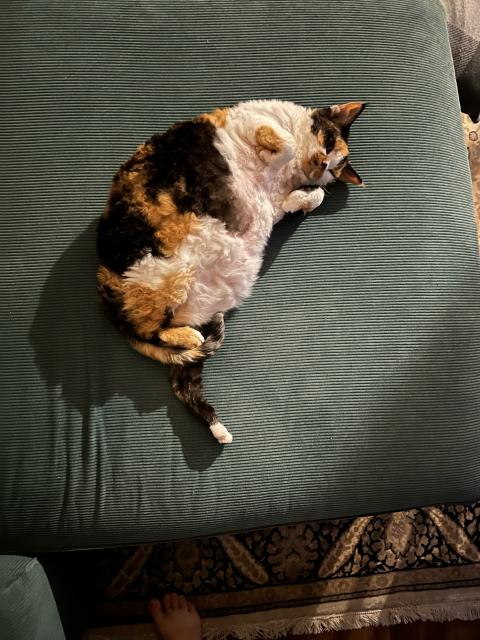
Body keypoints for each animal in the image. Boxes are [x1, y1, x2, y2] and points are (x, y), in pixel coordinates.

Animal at [96, 99, 364, 444]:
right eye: (329, 141)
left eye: (333, 169)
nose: (321, 163)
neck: (286, 176)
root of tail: (104, 292)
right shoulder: (251, 122)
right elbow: (287, 143)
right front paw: (278, 156)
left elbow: (315, 196)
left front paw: (296, 201)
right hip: (164, 276)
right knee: (146, 331)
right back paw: (189, 338)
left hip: (188, 312)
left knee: (182, 381)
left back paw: (219, 429)